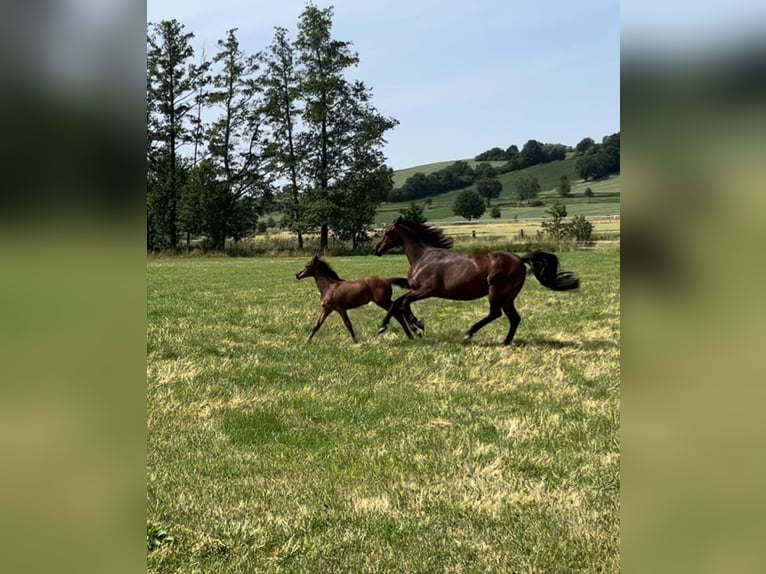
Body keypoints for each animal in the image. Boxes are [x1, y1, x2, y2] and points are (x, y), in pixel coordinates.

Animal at [296, 256, 426, 342]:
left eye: (307, 266)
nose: (297, 275)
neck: (329, 287)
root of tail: (387, 280)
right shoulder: (327, 309)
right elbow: (317, 325)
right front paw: (307, 341)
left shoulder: (340, 308)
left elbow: (348, 324)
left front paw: (355, 342)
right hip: (383, 301)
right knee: (397, 312)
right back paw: (412, 333)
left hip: (382, 301)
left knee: (397, 310)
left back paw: (414, 330)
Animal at [374, 218, 584, 346]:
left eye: (388, 232)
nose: (376, 249)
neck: (424, 257)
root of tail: (520, 259)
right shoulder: (415, 289)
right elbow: (402, 303)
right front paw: (417, 326)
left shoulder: (427, 290)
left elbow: (399, 302)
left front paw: (385, 326)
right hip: (508, 296)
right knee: (514, 318)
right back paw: (505, 342)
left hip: (496, 290)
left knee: (495, 313)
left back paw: (469, 333)